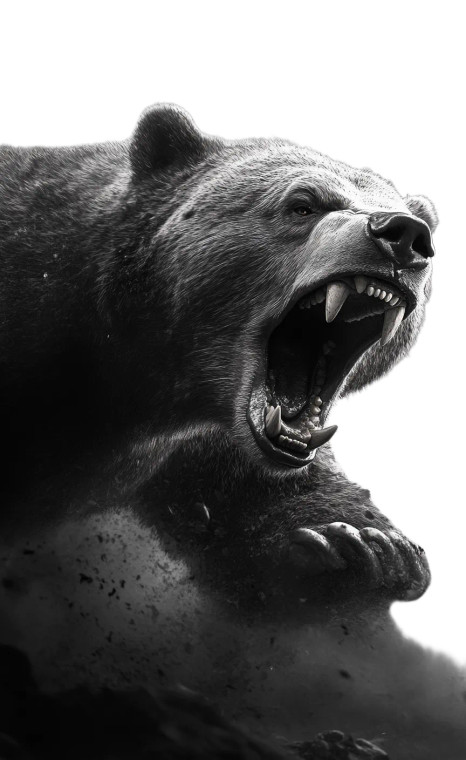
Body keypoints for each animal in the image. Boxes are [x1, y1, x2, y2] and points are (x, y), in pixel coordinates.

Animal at [4, 105, 466, 760]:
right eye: (303, 202)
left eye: (413, 213)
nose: (403, 234)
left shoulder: (204, 435)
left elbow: (252, 515)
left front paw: (363, 548)